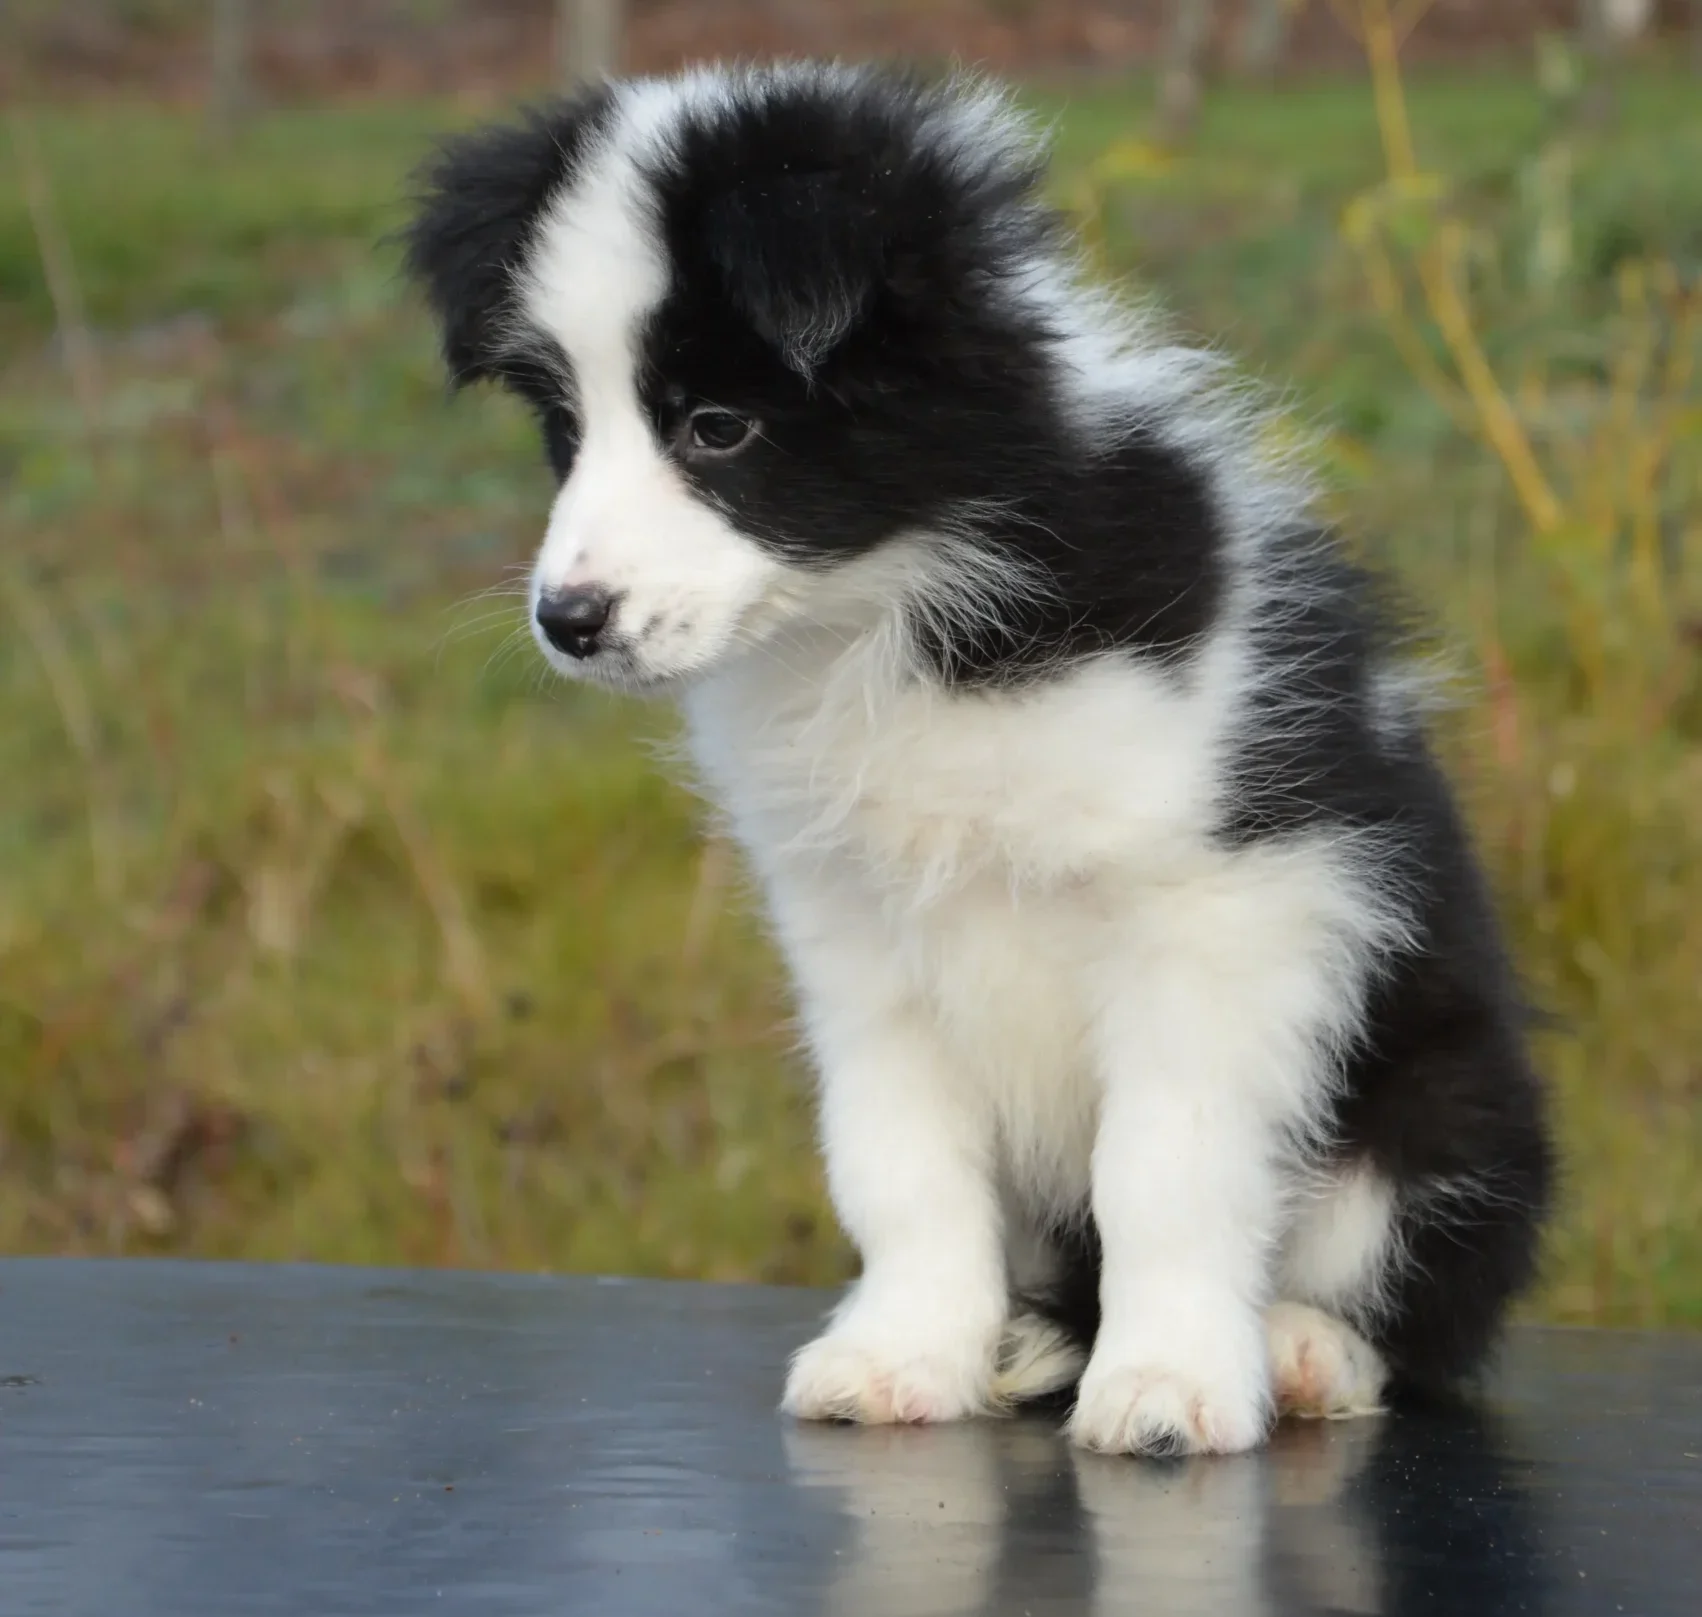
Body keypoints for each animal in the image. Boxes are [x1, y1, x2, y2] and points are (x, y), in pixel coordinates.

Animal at [405, 63, 1552, 1463]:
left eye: (718, 428)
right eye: (566, 429)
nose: (568, 621)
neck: (889, 618)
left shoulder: (1220, 914)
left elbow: (1164, 1165)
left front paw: (1168, 1381)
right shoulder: (856, 937)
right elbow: (898, 1164)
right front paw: (907, 1353)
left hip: (1438, 1109)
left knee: (1415, 1297)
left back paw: (1296, 1350)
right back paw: (1030, 1344)